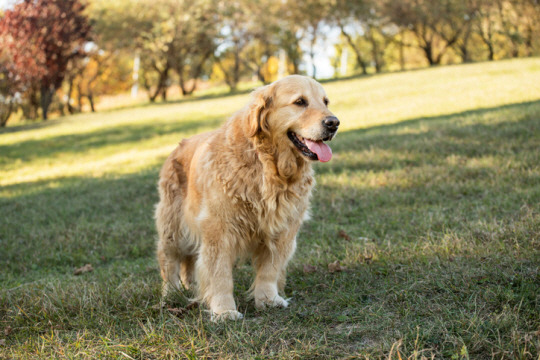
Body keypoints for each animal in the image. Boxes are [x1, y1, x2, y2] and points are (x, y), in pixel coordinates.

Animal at [156, 74, 340, 320]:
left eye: (325, 102)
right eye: (300, 102)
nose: (334, 123)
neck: (268, 164)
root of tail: (178, 146)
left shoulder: (283, 230)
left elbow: (269, 270)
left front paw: (268, 299)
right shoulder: (219, 229)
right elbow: (220, 274)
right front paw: (224, 310)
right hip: (173, 229)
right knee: (170, 262)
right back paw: (171, 294)